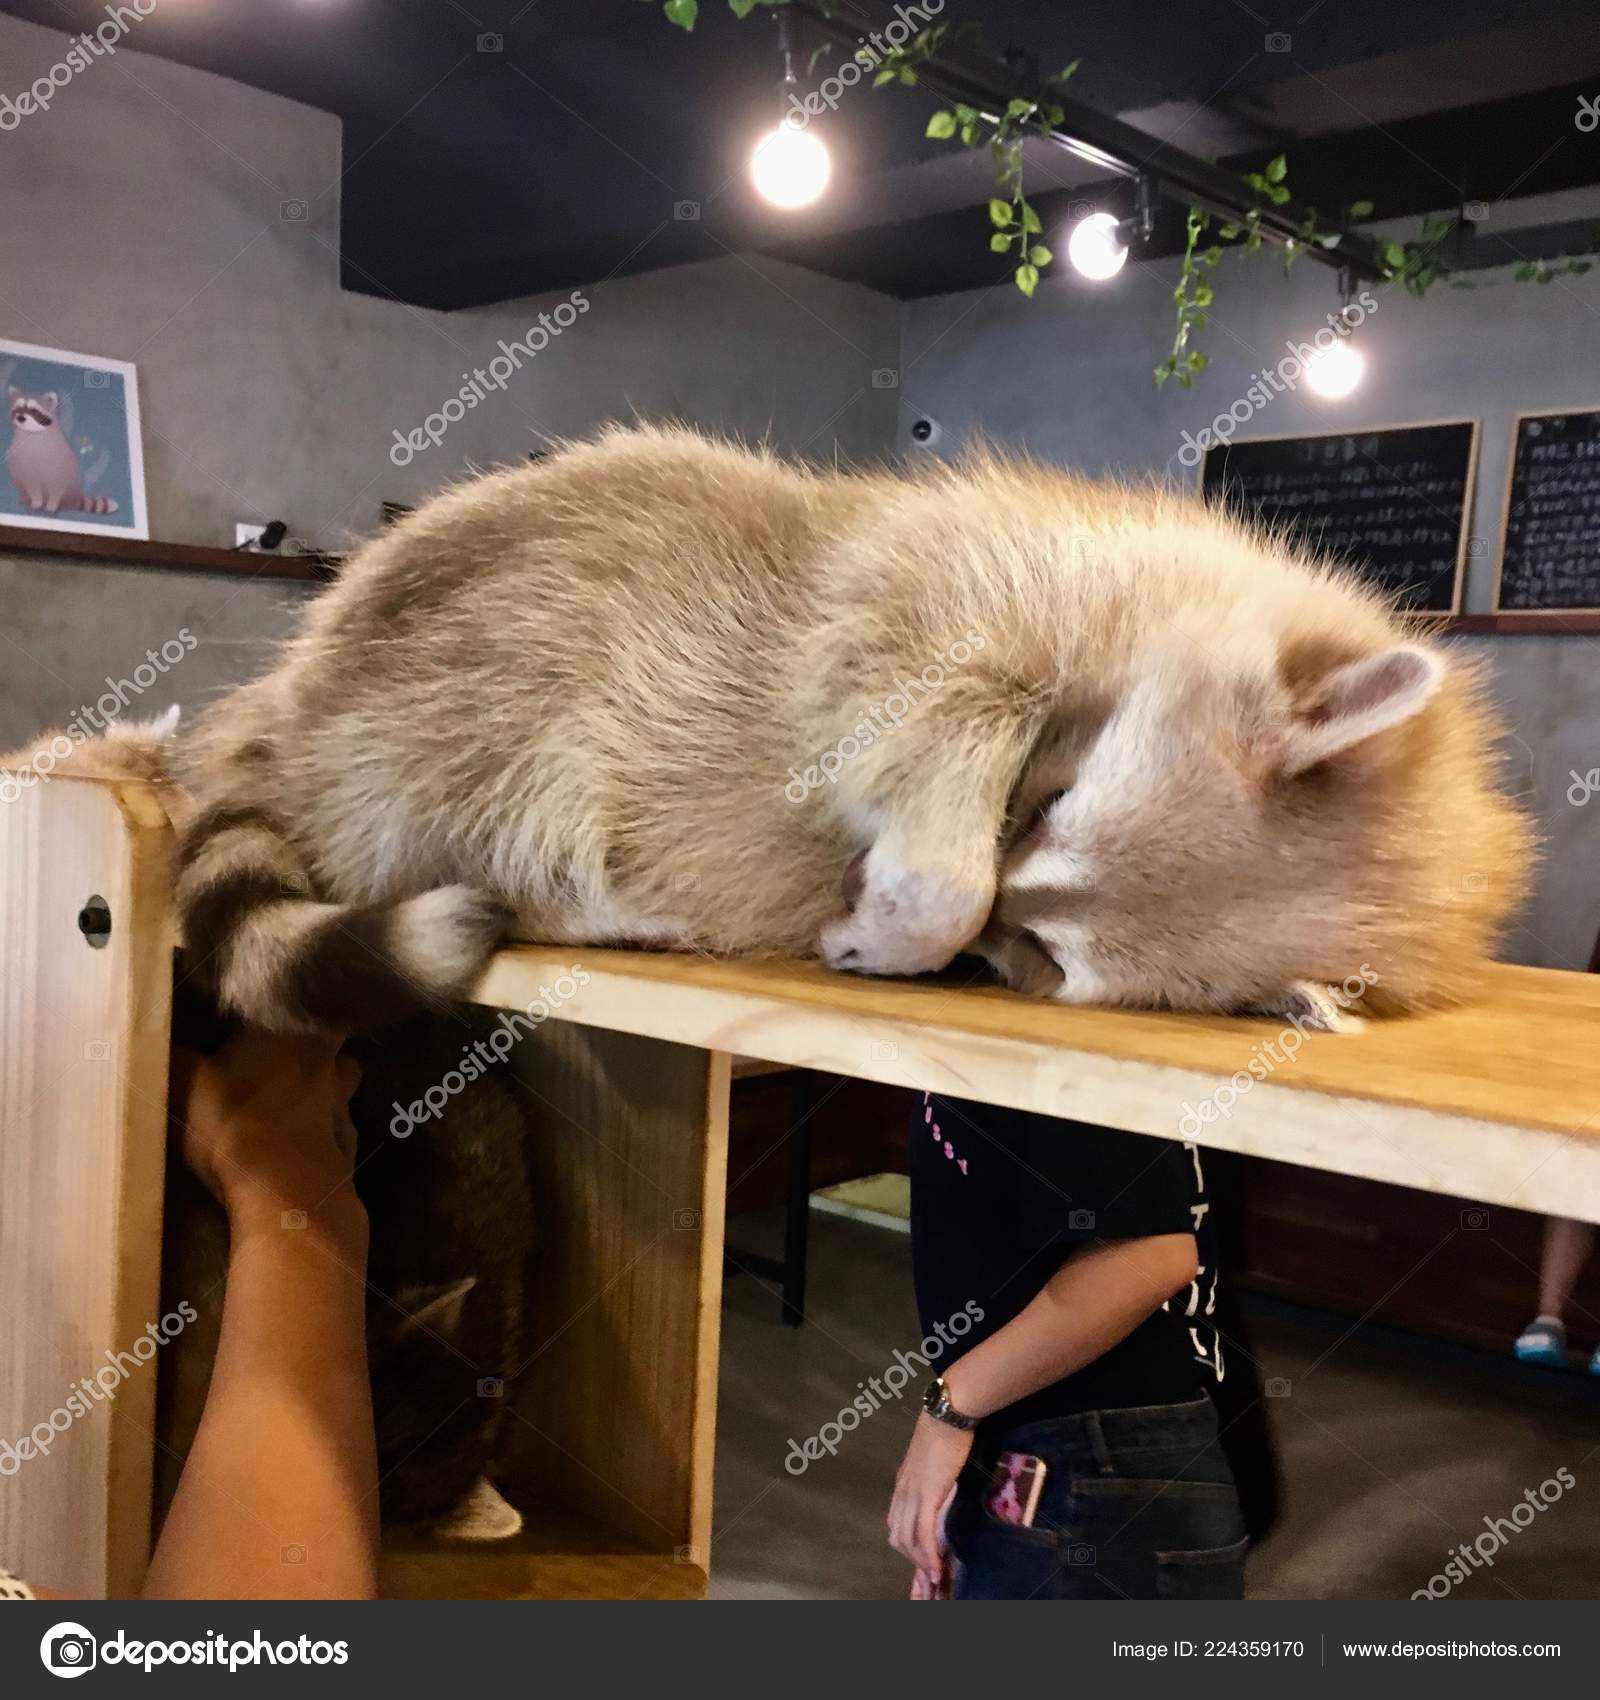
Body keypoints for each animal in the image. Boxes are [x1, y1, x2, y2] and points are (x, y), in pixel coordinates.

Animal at [174, 424, 1532, 1028]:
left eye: (1039, 960)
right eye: (1041, 804)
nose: (846, 889)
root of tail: (293, 698)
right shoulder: (939, 588)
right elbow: (900, 689)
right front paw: (923, 901)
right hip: (482, 659)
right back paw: (575, 892)